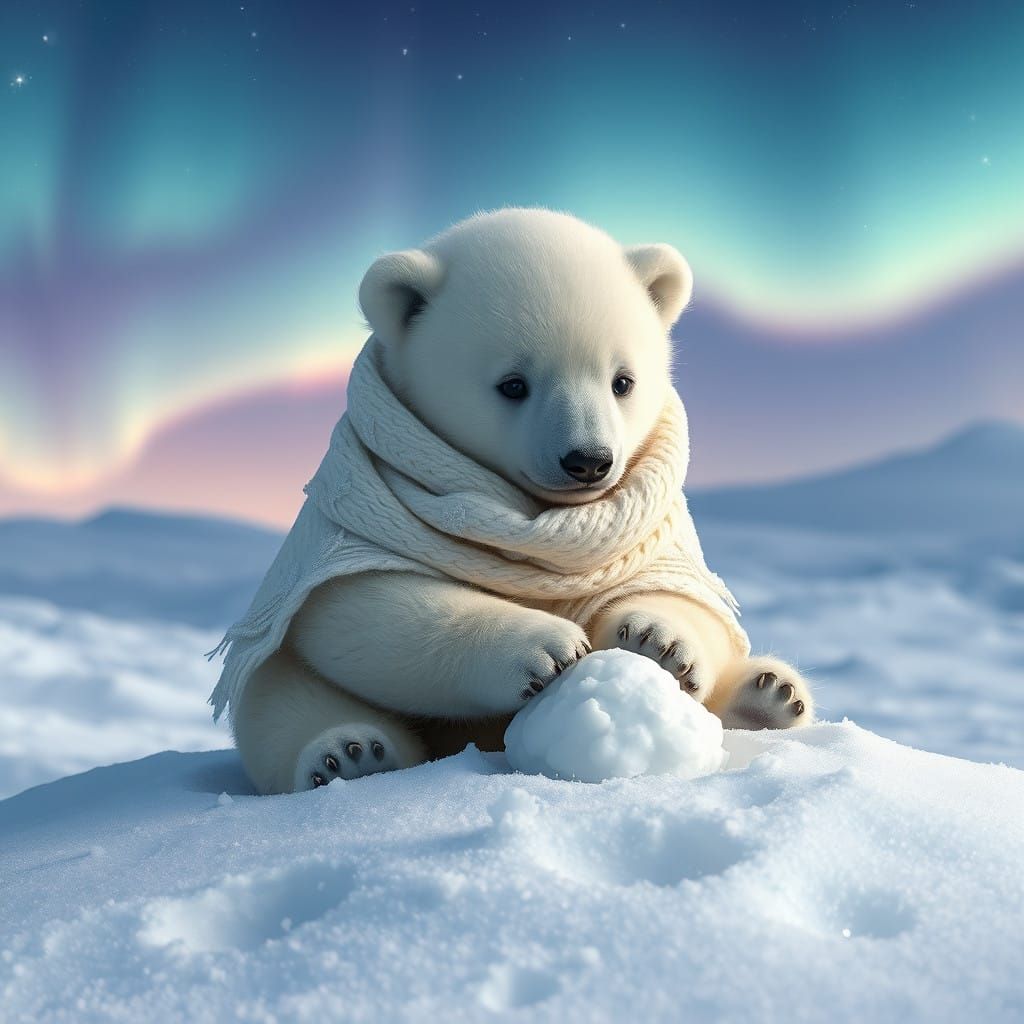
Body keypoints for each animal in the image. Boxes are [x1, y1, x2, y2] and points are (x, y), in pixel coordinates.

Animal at [226, 208, 813, 795]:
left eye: (623, 381)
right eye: (513, 384)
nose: (588, 460)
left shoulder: (653, 536)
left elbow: (692, 602)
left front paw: (658, 640)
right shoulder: (348, 536)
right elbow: (367, 610)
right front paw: (546, 648)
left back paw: (770, 695)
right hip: (280, 670)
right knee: (281, 701)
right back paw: (349, 754)